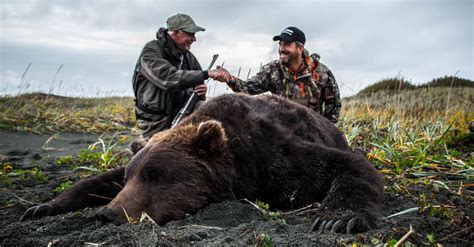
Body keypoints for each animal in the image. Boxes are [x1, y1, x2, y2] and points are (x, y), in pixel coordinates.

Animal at [23, 93, 386, 233]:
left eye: (156, 175)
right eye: (131, 177)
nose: (108, 214)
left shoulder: (274, 158)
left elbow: (349, 166)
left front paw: (338, 218)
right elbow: (98, 179)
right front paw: (42, 207)